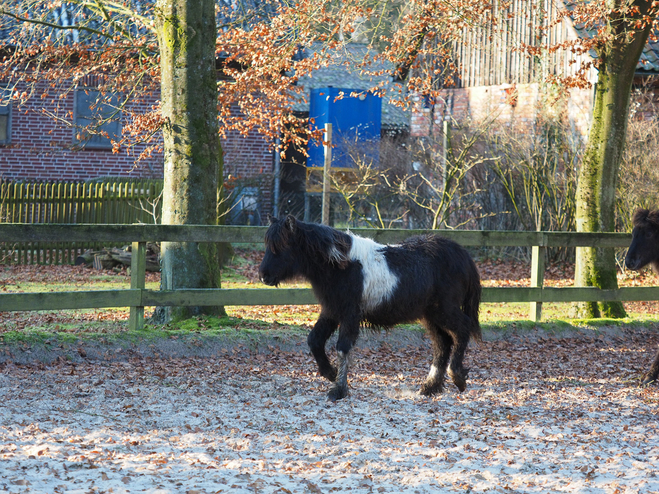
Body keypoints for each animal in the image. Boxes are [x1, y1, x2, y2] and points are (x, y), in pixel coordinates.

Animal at [260, 216, 484, 402]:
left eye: (281, 246)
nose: (263, 276)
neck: (341, 265)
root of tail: (463, 255)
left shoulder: (349, 313)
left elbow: (342, 347)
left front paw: (338, 390)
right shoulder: (332, 311)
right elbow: (314, 340)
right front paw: (330, 373)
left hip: (443, 310)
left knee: (462, 330)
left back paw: (458, 377)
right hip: (431, 315)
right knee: (443, 344)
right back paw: (429, 387)